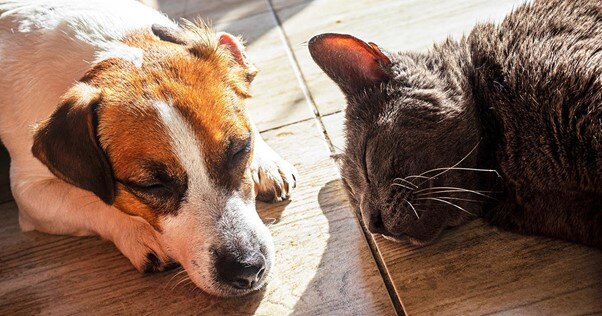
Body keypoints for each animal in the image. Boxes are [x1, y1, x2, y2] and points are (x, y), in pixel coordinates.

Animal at [0, 0, 296, 296]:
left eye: (240, 149)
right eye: (151, 186)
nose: (247, 268)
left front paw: (266, 161)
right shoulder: (30, 193)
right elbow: (88, 200)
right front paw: (139, 231)